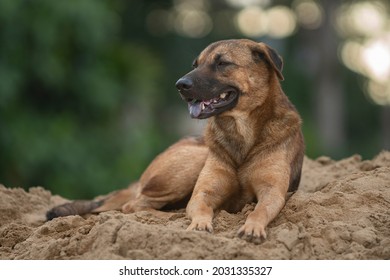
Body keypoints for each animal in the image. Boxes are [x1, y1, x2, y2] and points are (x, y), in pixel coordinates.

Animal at [46, 39, 304, 243]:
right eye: (195, 65)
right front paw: (199, 224)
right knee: (135, 206)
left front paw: (252, 227)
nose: (181, 85)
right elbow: (200, 208)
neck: (241, 134)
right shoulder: (204, 193)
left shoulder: (272, 192)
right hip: (190, 164)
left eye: (222, 63)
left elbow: (258, 211)